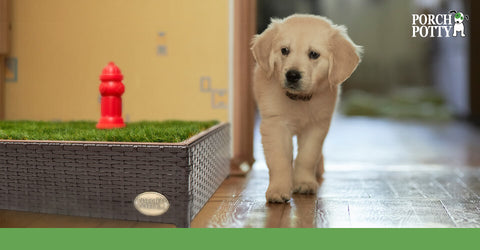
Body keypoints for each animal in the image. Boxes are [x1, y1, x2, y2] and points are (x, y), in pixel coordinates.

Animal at [251, 14, 360, 203]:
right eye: (284, 50)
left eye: (314, 54)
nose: (292, 75)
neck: (300, 100)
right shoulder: (275, 125)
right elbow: (280, 159)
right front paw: (278, 189)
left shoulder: (317, 126)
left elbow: (307, 157)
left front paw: (303, 182)